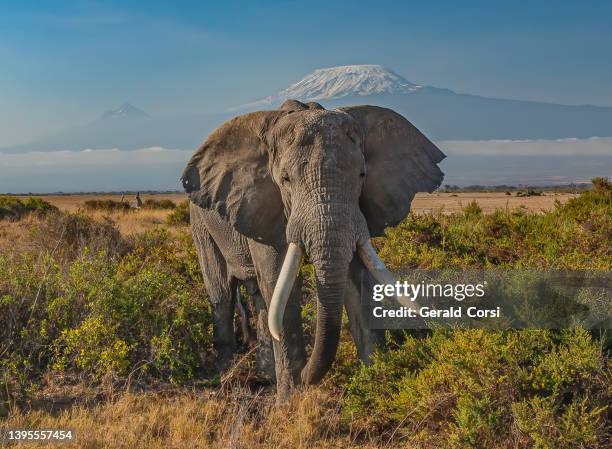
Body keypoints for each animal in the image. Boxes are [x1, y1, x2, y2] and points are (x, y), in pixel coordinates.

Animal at [182, 100, 444, 398]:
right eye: (285, 179)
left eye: (362, 175)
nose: (306, 377)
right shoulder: (264, 206)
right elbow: (279, 283)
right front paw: (288, 403)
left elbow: (358, 282)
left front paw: (379, 382)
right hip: (199, 220)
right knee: (222, 293)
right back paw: (226, 376)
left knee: (259, 297)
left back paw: (265, 376)